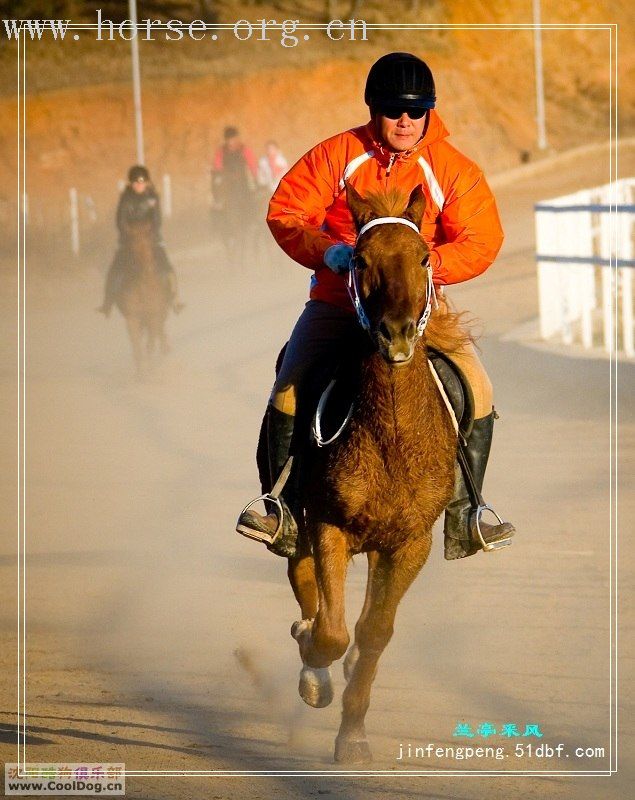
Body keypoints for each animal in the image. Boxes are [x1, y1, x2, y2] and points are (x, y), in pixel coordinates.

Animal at [116, 219, 171, 378]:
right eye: (132, 247)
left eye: (149, 243)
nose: (146, 269)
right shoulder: (132, 317)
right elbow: (136, 346)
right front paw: (141, 374)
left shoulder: (154, 314)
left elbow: (151, 341)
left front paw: (150, 368)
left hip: (161, 312)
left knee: (158, 331)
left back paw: (165, 348)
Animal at [284, 186, 472, 764]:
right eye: (360, 260)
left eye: (425, 257)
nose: (396, 335)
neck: (390, 436)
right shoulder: (329, 526)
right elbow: (332, 631)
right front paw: (314, 664)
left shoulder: (409, 543)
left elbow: (374, 633)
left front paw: (353, 734)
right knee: (301, 576)